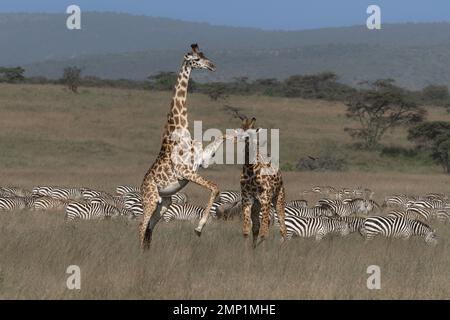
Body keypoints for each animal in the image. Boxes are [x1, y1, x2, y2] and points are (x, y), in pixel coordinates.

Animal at [139, 43, 220, 249]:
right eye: (196, 59)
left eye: (204, 54)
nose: (212, 65)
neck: (181, 126)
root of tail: (141, 187)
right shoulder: (185, 171)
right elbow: (215, 186)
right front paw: (199, 228)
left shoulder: (199, 163)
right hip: (151, 199)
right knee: (141, 227)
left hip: (164, 201)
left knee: (149, 229)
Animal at [236, 115, 288, 248]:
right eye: (241, 131)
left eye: (250, 134)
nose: (243, 140)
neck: (251, 171)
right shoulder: (247, 199)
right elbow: (246, 230)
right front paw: (247, 253)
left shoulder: (265, 199)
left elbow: (264, 233)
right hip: (256, 204)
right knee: (256, 227)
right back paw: (254, 248)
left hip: (278, 199)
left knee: (283, 227)